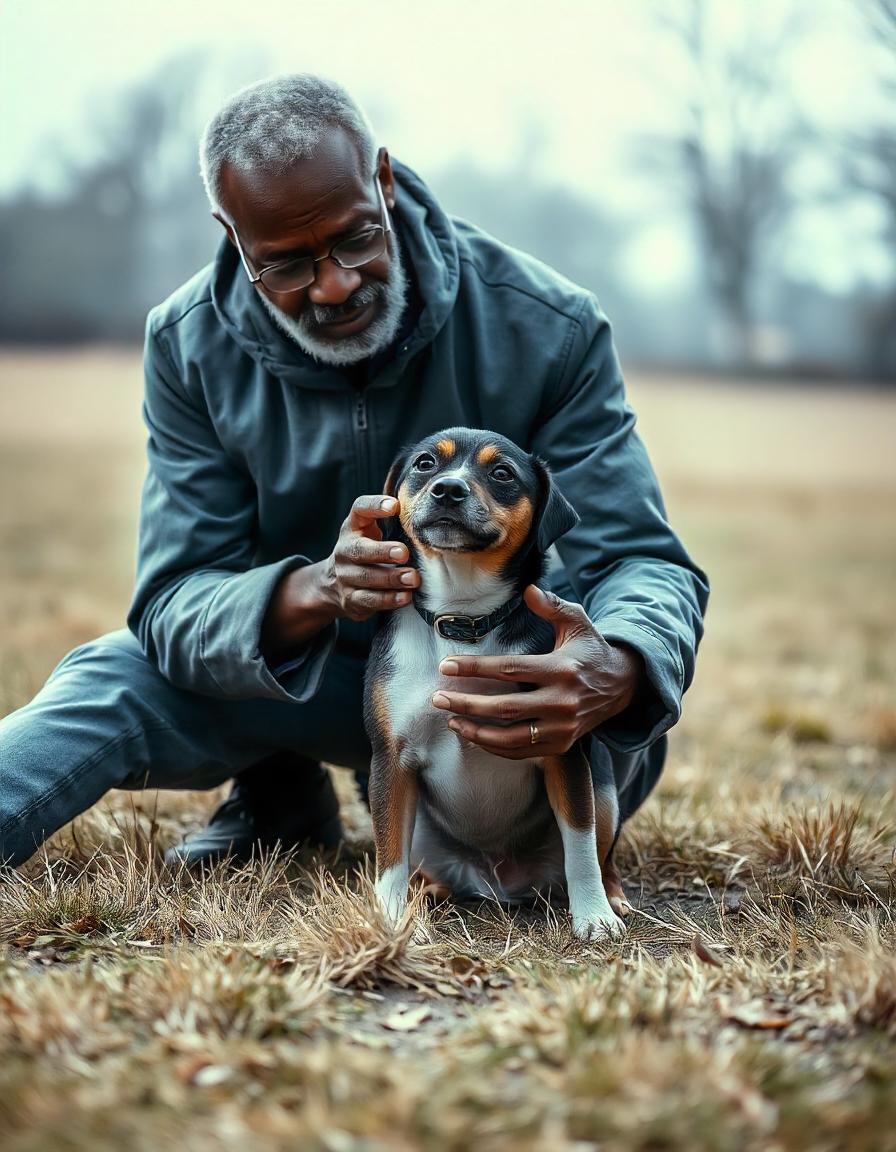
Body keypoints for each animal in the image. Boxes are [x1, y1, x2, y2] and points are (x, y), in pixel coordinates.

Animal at [359, 428, 626, 940]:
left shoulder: (563, 750)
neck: (463, 619)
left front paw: (593, 916)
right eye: (425, 463)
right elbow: (389, 859)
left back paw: (615, 897)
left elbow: (580, 845)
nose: (448, 489)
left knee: (601, 854)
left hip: (604, 792)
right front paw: (394, 920)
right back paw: (426, 893)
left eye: (502, 473)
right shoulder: (392, 758)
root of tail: (498, 883)